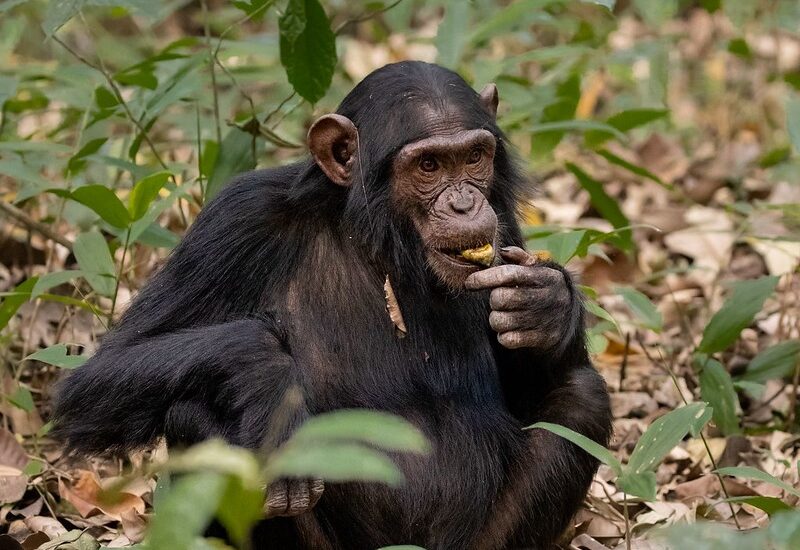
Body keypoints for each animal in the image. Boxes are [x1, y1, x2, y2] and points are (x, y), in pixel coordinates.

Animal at [54, 61, 612, 550]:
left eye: (475, 157)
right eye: (429, 164)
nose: (464, 203)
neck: (379, 241)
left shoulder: (505, 230)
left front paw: (547, 303)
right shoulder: (236, 219)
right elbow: (102, 375)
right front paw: (267, 379)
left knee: (581, 398)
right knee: (192, 406)